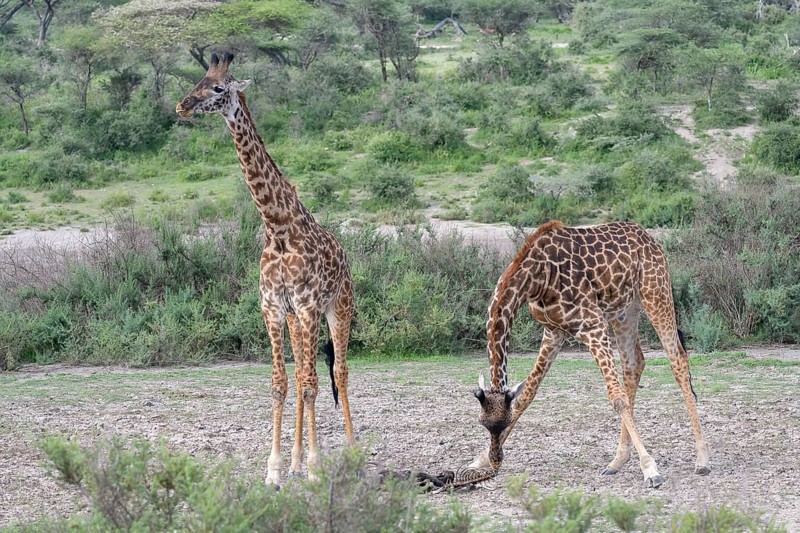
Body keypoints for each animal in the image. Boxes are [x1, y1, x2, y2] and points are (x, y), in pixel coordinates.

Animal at [176, 53, 355, 486]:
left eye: (218, 87)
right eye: (198, 80)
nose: (182, 106)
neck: (277, 227)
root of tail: (345, 254)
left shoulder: (308, 307)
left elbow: (311, 384)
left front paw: (316, 467)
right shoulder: (274, 308)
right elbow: (280, 383)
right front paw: (276, 469)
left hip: (338, 308)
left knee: (339, 372)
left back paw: (352, 450)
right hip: (296, 321)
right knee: (303, 372)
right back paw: (295, 460)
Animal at [470, 220, 710, 488]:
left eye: (505, 421)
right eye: (483, 423)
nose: (496, 460)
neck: (537, 277)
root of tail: (649, 238)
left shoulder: (592, 325)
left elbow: (617, 398)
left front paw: (650, 469)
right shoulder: (554, 331)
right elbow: (528, 393)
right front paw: (479, 461)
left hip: (655, 293)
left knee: (677, 359)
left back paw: (702, 459)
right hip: (625, 310)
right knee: (634, 363)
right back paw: (617, 461)